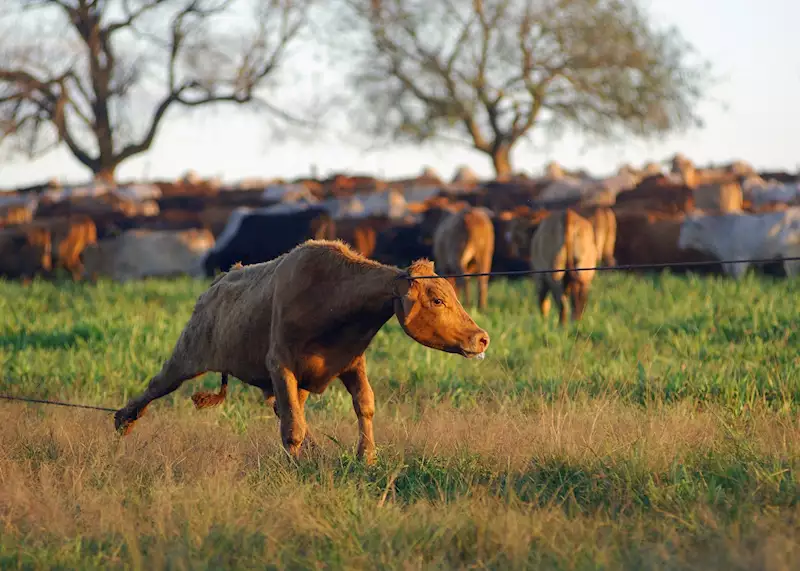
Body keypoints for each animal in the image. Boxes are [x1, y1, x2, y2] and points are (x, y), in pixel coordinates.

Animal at [111, 239, 488, 466]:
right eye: (437, 299)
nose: (482, 338)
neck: (332, 301)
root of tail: (218, 283)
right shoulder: (279, 364)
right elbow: (292, 427)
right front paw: (296, 468)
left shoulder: (351, 362)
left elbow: (363, 405)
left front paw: (366, 457)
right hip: (187, 353)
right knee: (158, 384)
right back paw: (123, 420)